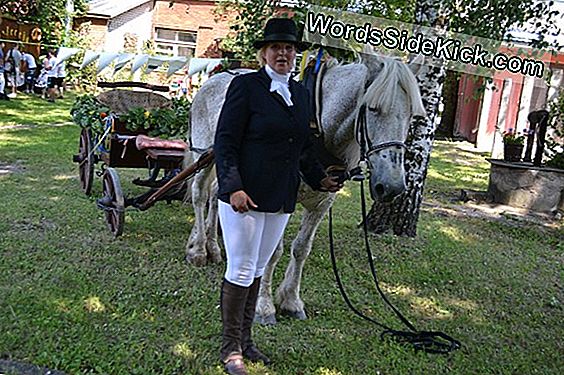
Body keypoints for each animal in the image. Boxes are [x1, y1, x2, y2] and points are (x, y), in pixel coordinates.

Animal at [183, 53, 426, 326]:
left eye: (412, 116)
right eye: (373, 108)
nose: (392, 187)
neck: (319, 127)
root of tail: (215, 78)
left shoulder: (322, 203)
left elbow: (301, 248)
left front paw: (291, 300)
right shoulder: (278, 201)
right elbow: (273, 251)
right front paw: (264, 306)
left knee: (217, 194)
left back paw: (212, 246)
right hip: (204, 153)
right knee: (199, 193)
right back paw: (199, 249)